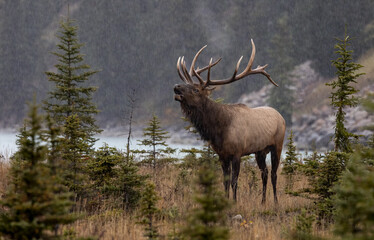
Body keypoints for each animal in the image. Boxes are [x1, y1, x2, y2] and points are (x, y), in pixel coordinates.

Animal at [174, 39, 284, 202]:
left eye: (195, 90)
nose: (176, 86)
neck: (219, 130)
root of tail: (281, 116)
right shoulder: (222, 155)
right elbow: (225, 181)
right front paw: (224, 201)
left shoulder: (237, 152)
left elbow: (234, 181)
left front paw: (234, 202)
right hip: (260, 151)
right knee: (264, 173)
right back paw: (263, 202)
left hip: (277, 145)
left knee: (274, 174)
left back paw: (275, 202)